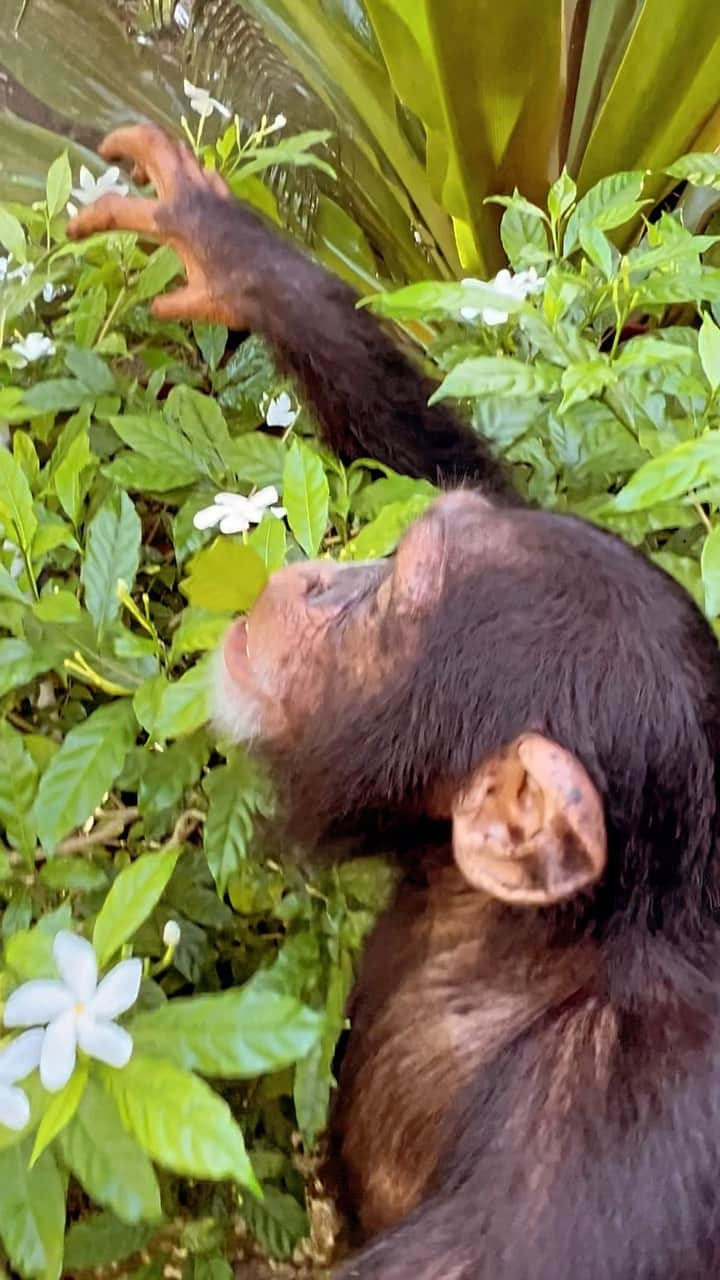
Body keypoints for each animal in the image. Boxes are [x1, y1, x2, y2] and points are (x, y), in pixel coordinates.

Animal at [68, 122, 720, 1280]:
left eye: (395, 595)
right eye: (411, 544)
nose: (319, 578)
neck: (518, 952)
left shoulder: (600, 1170)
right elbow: (449, 460)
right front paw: (224, 241)